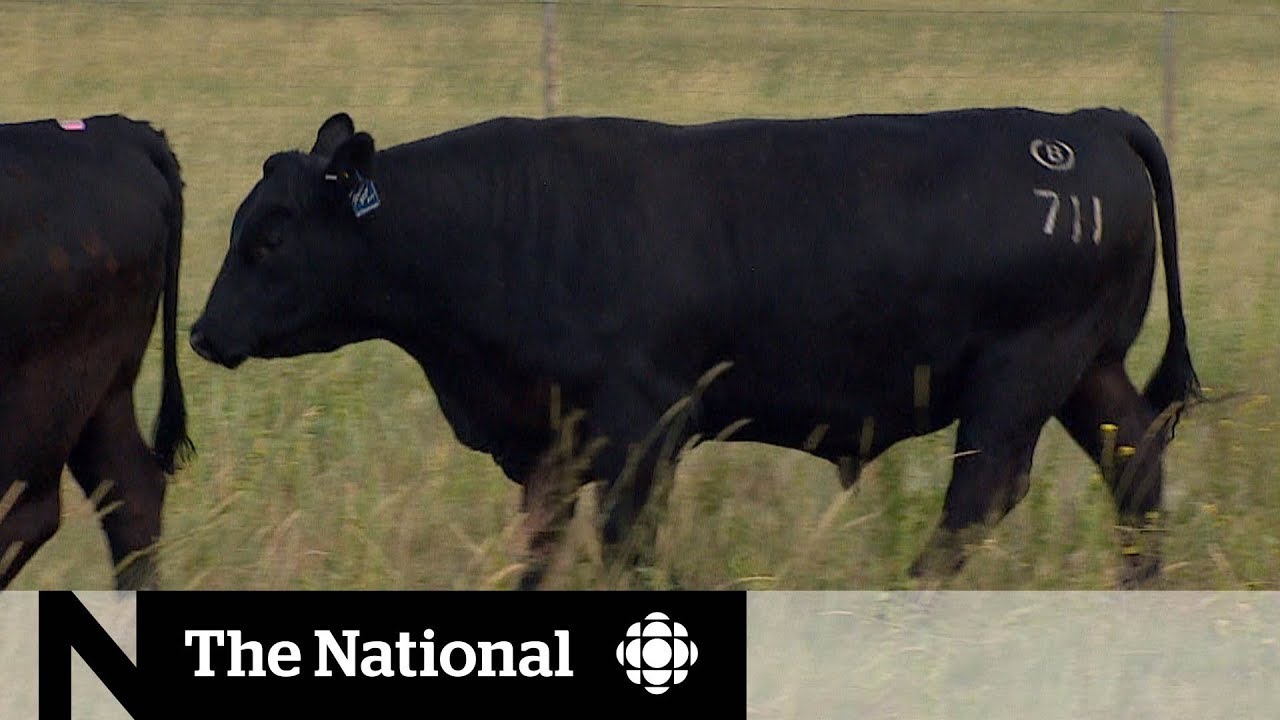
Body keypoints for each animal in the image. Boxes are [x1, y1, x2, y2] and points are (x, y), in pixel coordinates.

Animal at [189, 107, 1199, 590]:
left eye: (270, 238)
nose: (202, 333)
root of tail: (1083, 123)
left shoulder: (642, 432)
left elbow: (625, 544)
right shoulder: (549, 443)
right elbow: (537, 548)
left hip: (1022, 375)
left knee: (980, 495)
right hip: (1089, 371)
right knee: (1136, 459)